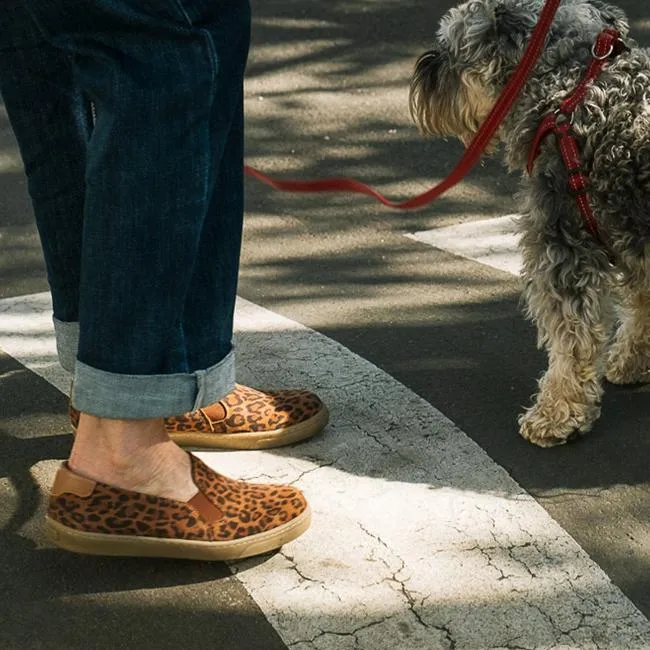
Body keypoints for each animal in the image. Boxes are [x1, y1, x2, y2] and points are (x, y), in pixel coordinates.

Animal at [408, 0, 648, 446]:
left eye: (450, 45)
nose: (423, 71)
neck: (570, 89)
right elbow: (641, 308)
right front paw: (632, 361)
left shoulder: (562, 248)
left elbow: (572, 340)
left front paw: (557, 414)